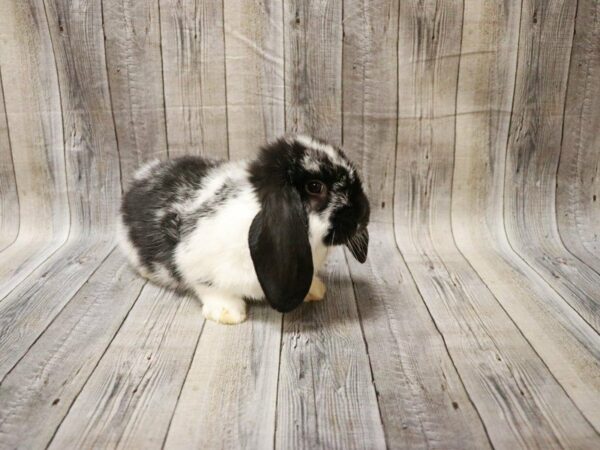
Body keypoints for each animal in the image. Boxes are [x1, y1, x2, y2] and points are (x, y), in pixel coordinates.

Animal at [117, 134, 370, 324]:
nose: (363, 216)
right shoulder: (194, 261)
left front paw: (315, 290)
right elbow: (209, 287)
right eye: (315, 186)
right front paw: (228, 314)